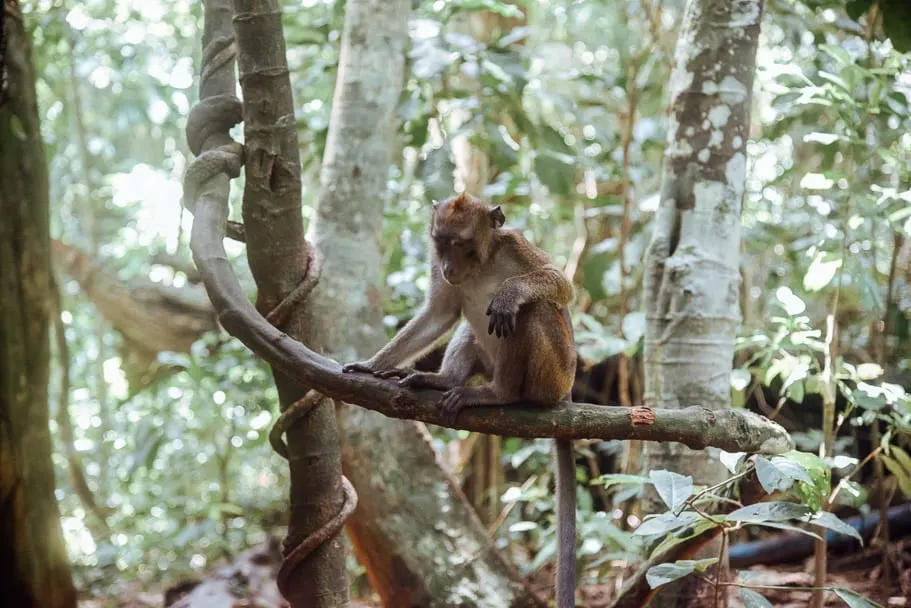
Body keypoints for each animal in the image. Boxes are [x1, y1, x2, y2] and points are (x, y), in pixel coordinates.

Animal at [342, 194, 576, 608]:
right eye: (441, 243)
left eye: (462, 244)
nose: (449, 267)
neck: (482, 264)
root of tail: (565, 393)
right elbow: (440, 314)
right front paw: (372, 364)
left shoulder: (516, 244)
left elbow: (561, 286)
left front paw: (510, 291)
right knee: (470, 328)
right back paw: (444, 380)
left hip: (555, 375)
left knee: (533, 310)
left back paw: (498, 393)